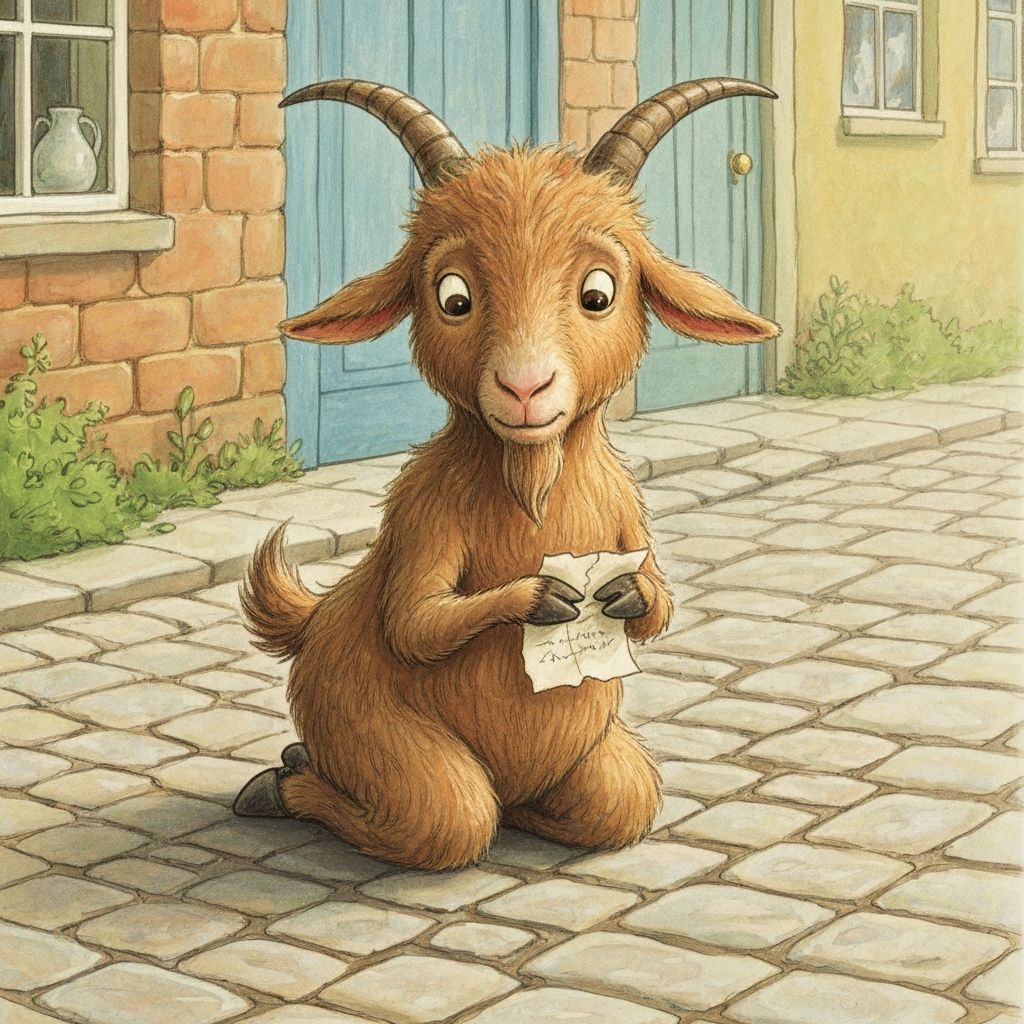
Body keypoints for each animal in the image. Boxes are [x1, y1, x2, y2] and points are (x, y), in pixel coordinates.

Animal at [235, 77, 780, 870]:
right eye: (453, 296)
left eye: (598, 292)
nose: (526, 387)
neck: (533, 484)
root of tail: (315, 622)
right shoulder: (422, 510)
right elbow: (414, 624)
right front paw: (541, 597)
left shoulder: (627, 509)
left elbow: (661, 607)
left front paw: (626, 594)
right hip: (363, 725)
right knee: (453, 813)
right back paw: (276, 783)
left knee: (619, 795)